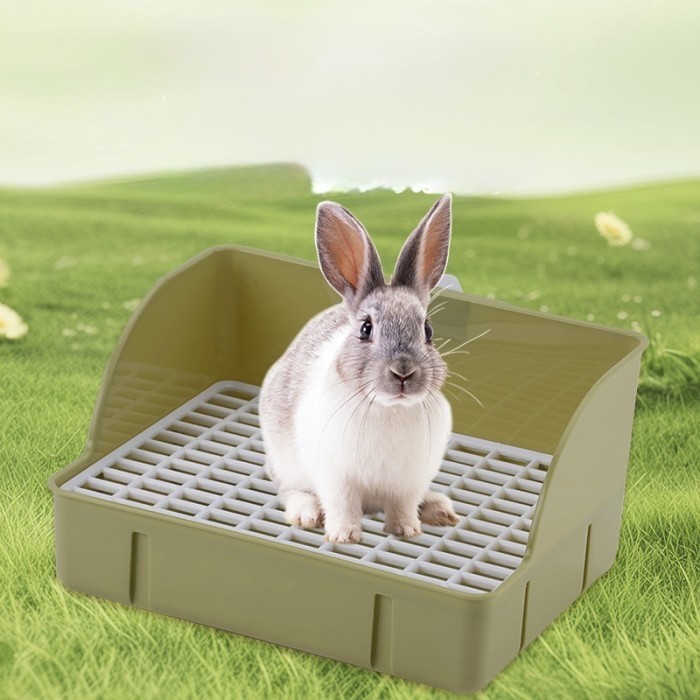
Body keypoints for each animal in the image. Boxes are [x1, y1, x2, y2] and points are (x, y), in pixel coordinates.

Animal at [258, 194, 459, 544]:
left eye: (428, 330)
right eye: (366, 329)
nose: (403, 372)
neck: (389, 408)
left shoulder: (409, 482)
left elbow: (403, 506)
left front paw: (407, 531)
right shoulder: (336, 477)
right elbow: (342, 505)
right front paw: (343, 536)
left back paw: (439, 510)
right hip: (284, 463)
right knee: (290, 490)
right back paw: (306, 514)